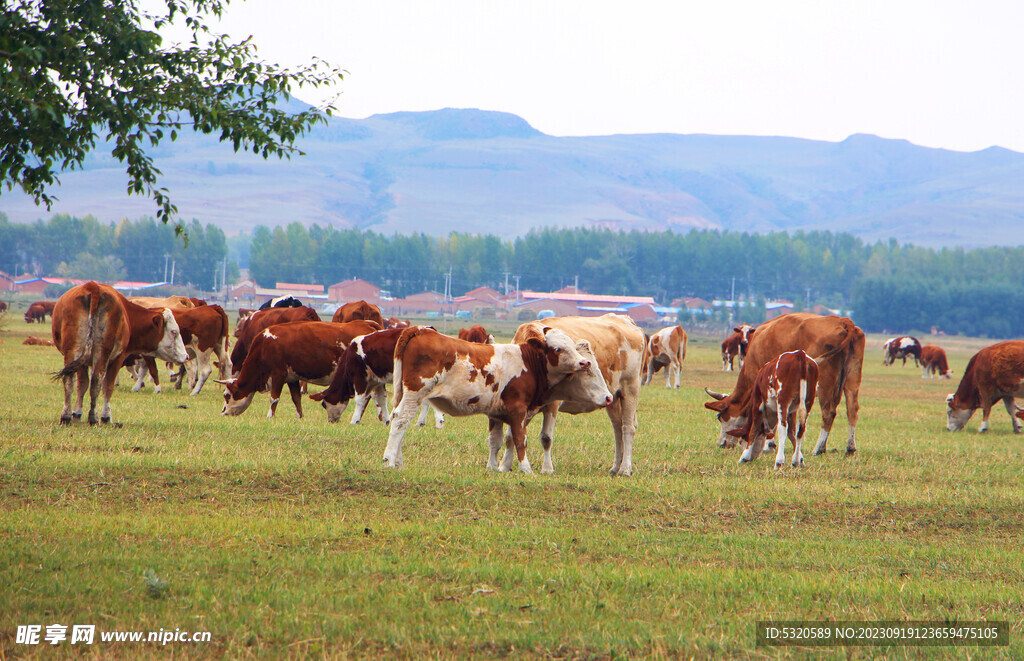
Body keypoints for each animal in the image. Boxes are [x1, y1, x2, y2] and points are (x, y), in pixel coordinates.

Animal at [52, 282, 188, 427]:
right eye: (174, 332)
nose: (186, 356)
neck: (128, 315)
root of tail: (94, 287)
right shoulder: (118, 358)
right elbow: (107, 386)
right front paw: (106, 416)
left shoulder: (82, 363)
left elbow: (82, 385)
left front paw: (77, 413)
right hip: (102, 353)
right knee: (97, 382)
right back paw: (93, 417)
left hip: (73, 351)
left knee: (69, 380)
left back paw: (66, 416)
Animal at [218, 321, 382, 419]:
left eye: (227, 395)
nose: (223, 412)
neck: (264, 345)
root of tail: (366, 324)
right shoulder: (292, 378)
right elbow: (296, 398)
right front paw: (300, 416)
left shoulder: (278, 374)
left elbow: (274, 398)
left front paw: (270, 416)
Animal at [382, 325, 593, 470]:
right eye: (558, 349)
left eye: (573, 346)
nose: (584, 362)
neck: (527, 363)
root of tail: (420, 330)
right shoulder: (518, 409)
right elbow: (520, 439)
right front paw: (526, 469)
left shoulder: (496, 412)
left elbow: (496, 440)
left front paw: (492, 468)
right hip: (415, 393)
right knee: (401, 420)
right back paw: (389, 460)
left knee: (398, 420)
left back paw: (398, 461)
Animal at [507, 315, 643, 476]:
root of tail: (624, 319)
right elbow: (511, 435)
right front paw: (505, 466)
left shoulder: (552, 405)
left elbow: (546, 438)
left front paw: (547, 469)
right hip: (613, 398)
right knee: (617, 428)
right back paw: (616, 467)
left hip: (630, 389)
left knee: (627, 428)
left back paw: (625, 468)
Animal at [704, 313, 864, 458]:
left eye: (721, 417)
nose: (721, 444)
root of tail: (844, 321)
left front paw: (768, 445)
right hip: (852, 377)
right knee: (852, 410)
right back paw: (850, 448)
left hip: (825, 381)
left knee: (828, 412)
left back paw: (818, 449)